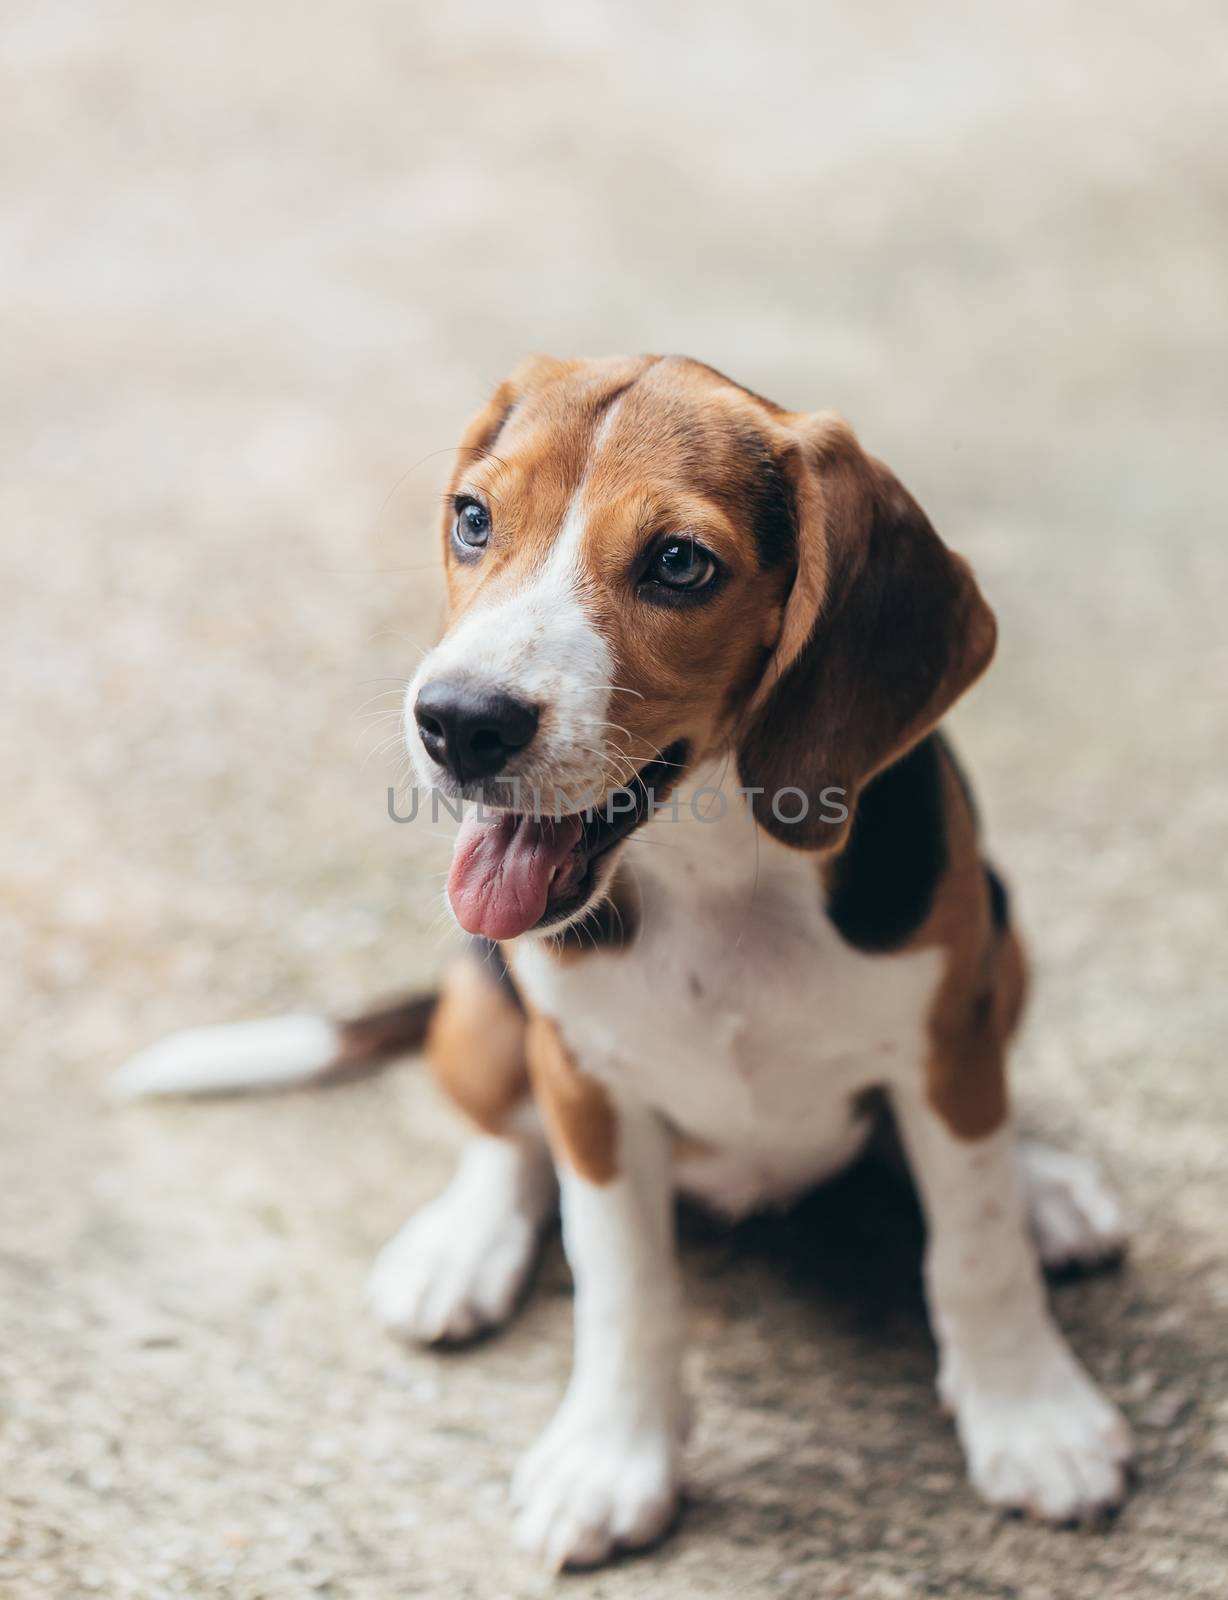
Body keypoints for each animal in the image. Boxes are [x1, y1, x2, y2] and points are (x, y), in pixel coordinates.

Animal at [119, 356, 1138, 1568]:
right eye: (473, 519)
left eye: (680, 563)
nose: (456, 722)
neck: (715, 874)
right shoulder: (586, 1081)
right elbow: (623, 1279)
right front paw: (611, 1460)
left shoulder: (945, 1040)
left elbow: (973, 1247)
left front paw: (1031, 1417)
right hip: (485, 1000)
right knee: (501, 1136)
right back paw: (461, 1245)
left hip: (1002, 948)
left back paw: (1044, 1187)